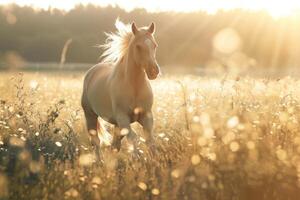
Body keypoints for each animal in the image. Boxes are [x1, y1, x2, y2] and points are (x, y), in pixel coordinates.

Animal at [81, 19, 161, 159]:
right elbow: (134, 138)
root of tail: (91, 72)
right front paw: (137, 158)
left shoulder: (146, 116)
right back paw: (100, 161)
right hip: (90, 115)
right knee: (96, 141)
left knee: (115, 145)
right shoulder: (123, 118)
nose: (153, 71)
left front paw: (154, 160)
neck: (134, 86)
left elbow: (150, 140)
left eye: (154, 45)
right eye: (138, 46)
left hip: (116, 124)